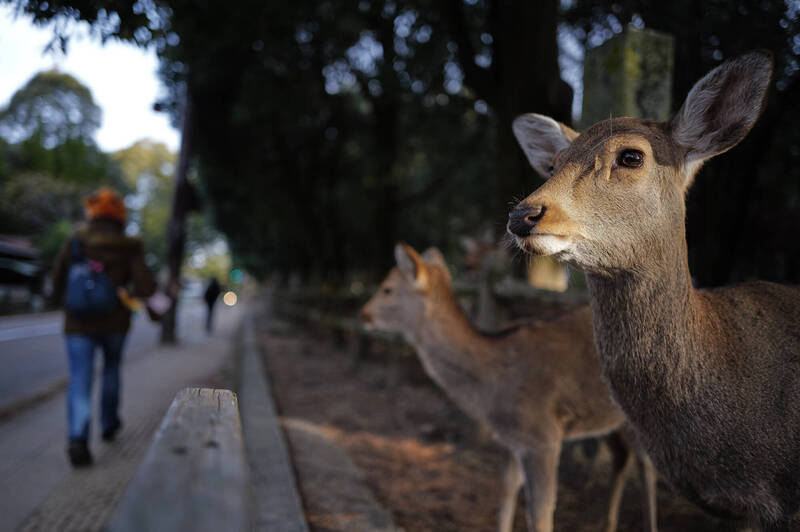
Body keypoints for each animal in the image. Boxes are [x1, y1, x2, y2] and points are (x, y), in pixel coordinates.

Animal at [360, 243, 658, 532]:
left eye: (387, 288)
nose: (363, 314)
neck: (493, 385)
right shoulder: (512, 439)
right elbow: (506, 492)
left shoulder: (543, 435)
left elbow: (540, 514)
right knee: (623, 456)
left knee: (647, 463)